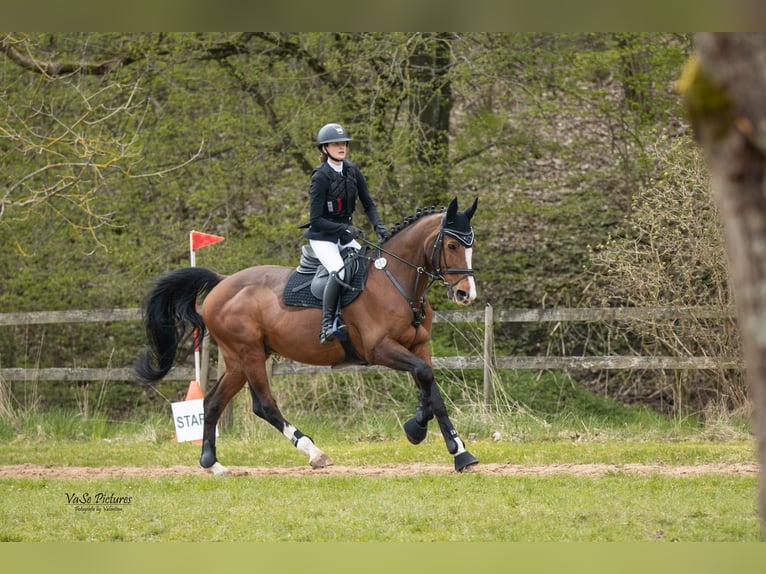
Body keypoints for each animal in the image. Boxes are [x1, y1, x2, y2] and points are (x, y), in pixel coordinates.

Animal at [135, 196, 479, 475]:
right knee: (264, 405)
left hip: (238, 360)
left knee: (212, 402)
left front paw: (459, 452)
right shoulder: (380, 349)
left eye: (471, 245)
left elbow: (432, 389)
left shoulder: (418, 346)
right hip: (248, 353)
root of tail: (222, 282)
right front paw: (418, 428)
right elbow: (425, 378)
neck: (397, 282)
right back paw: (313, 452)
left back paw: (211, 463)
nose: (466, 294)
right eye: (451, 246)